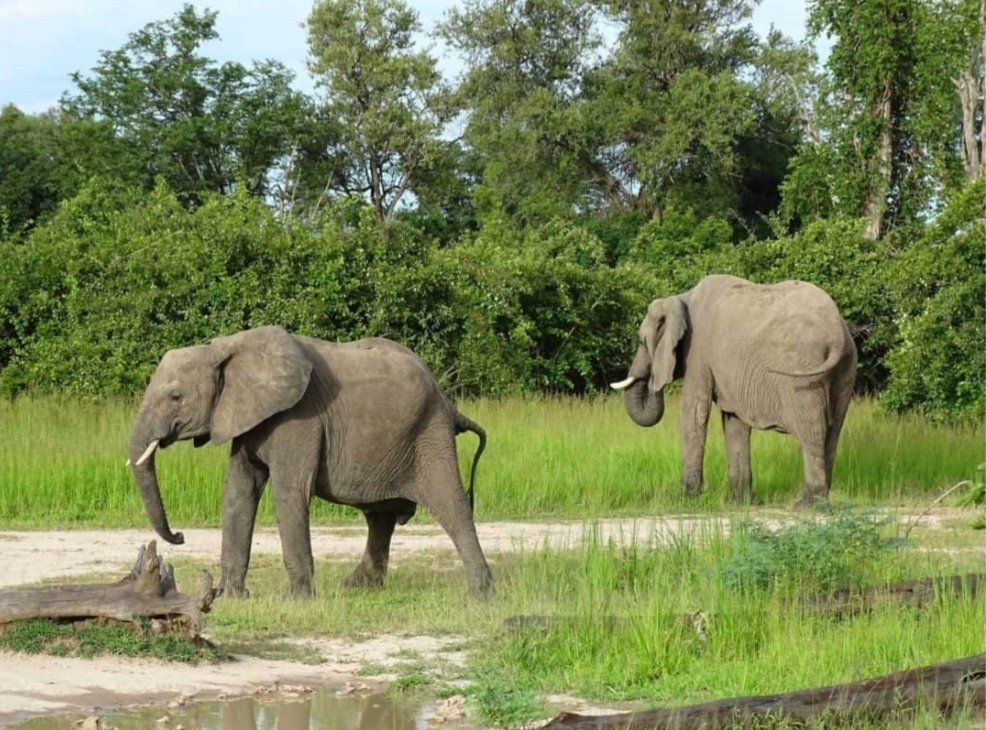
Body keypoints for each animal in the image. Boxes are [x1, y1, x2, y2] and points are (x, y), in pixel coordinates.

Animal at [128, 326, 492, 598]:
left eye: (176, 396)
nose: (179, 536)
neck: (226, 347)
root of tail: (447, 401)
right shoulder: (246, 418)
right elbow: (238, 490)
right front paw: (230, 597)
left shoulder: (299, 418)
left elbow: (289, 492)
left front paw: (297, 599)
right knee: (381, 516)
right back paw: (357, 587)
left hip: (429, 434)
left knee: (450, 503)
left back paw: (480, 593)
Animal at [611, 274, 857, 505]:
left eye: (641, 342)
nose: (653, 380)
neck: (681, 298)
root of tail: (836, 333)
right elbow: (734, 421)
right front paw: (744, 503)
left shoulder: (697, 353)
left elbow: (695, 411)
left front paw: (686, 499)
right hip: (846, 368)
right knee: (833, 429)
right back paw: (820, 500)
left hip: (803, 370)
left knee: (812, 430)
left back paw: (806, 504)